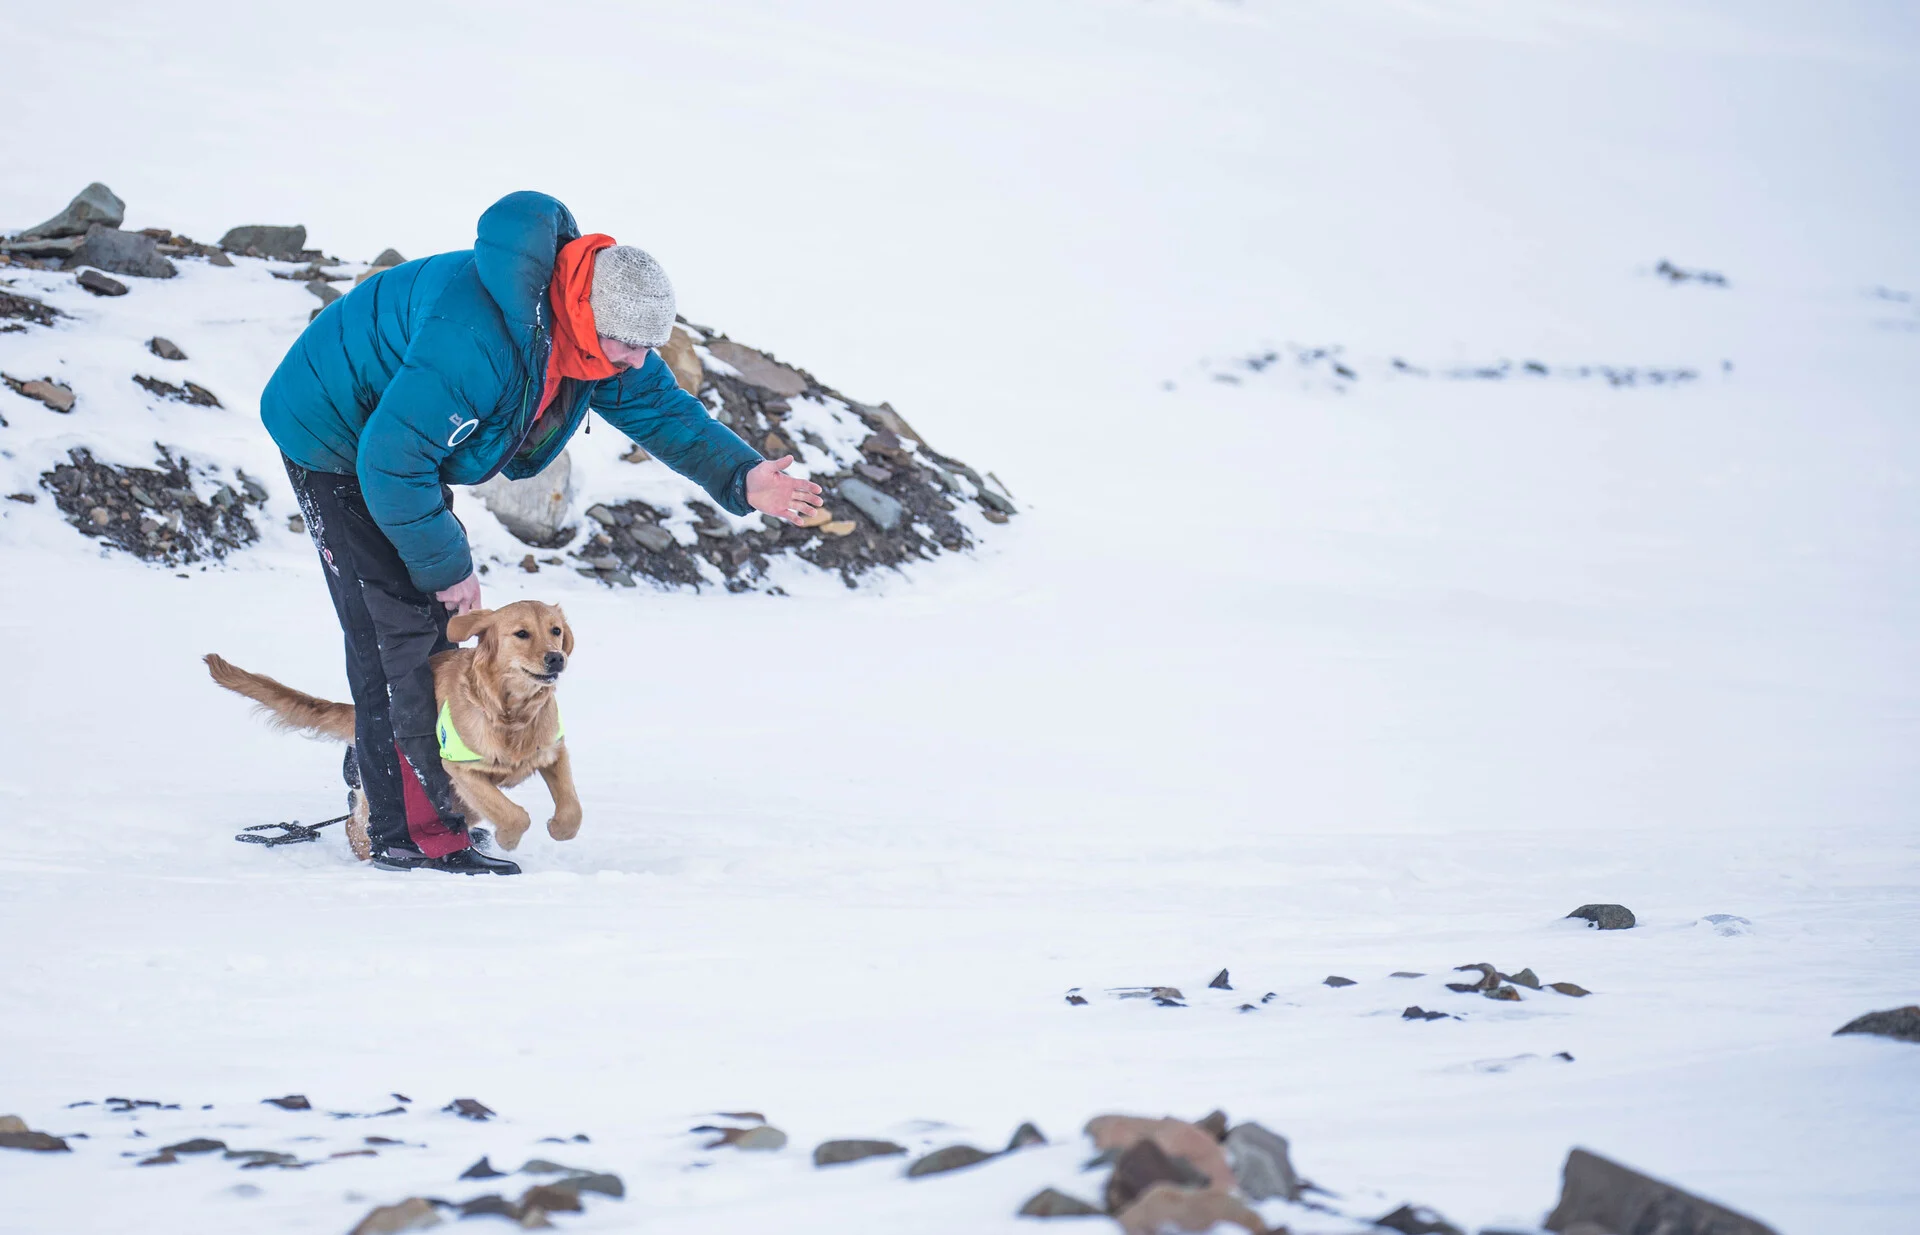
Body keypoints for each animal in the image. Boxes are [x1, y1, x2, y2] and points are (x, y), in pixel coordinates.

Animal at [204, 603, 576, 860]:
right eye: (522, 634)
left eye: (556, 630)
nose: (556, 658)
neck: (512, 714)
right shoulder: (461, 769)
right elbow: (514, 814)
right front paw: (507, 840)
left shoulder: (554, 754)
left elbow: (572, 808)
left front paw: (558, 828)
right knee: (357, 822)